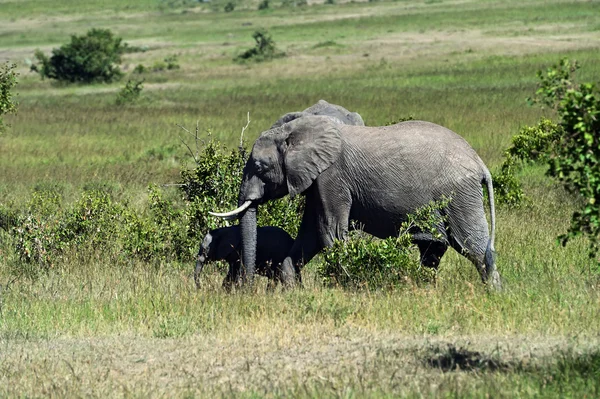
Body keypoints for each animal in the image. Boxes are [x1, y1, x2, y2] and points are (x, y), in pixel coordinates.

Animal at [211, 115, 502, 290]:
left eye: (261, 166)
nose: (244, 287)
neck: (297, 132)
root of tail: (479, 162)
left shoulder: (331, 176)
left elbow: (329, 232)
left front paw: (345, 288)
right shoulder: (316, 182)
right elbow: (310, 235)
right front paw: (292, 289)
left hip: (458, 193)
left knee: (473, 246)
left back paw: (492, 294)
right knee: (433, 248)